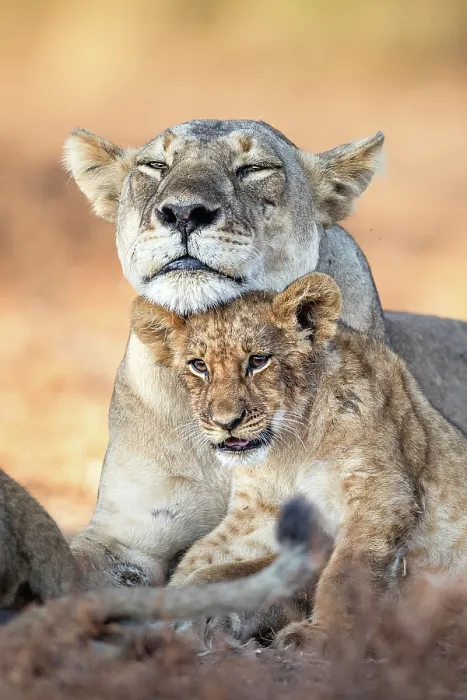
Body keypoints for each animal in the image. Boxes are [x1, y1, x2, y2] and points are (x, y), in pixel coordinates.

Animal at [132, 272, 467, 649]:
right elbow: (206, 558)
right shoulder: (259, 510)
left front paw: (323, 637)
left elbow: (347, 572)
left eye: (258, 360)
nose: (225, 422)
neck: (290, 448)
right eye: (199, 365)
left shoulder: (379, 494)